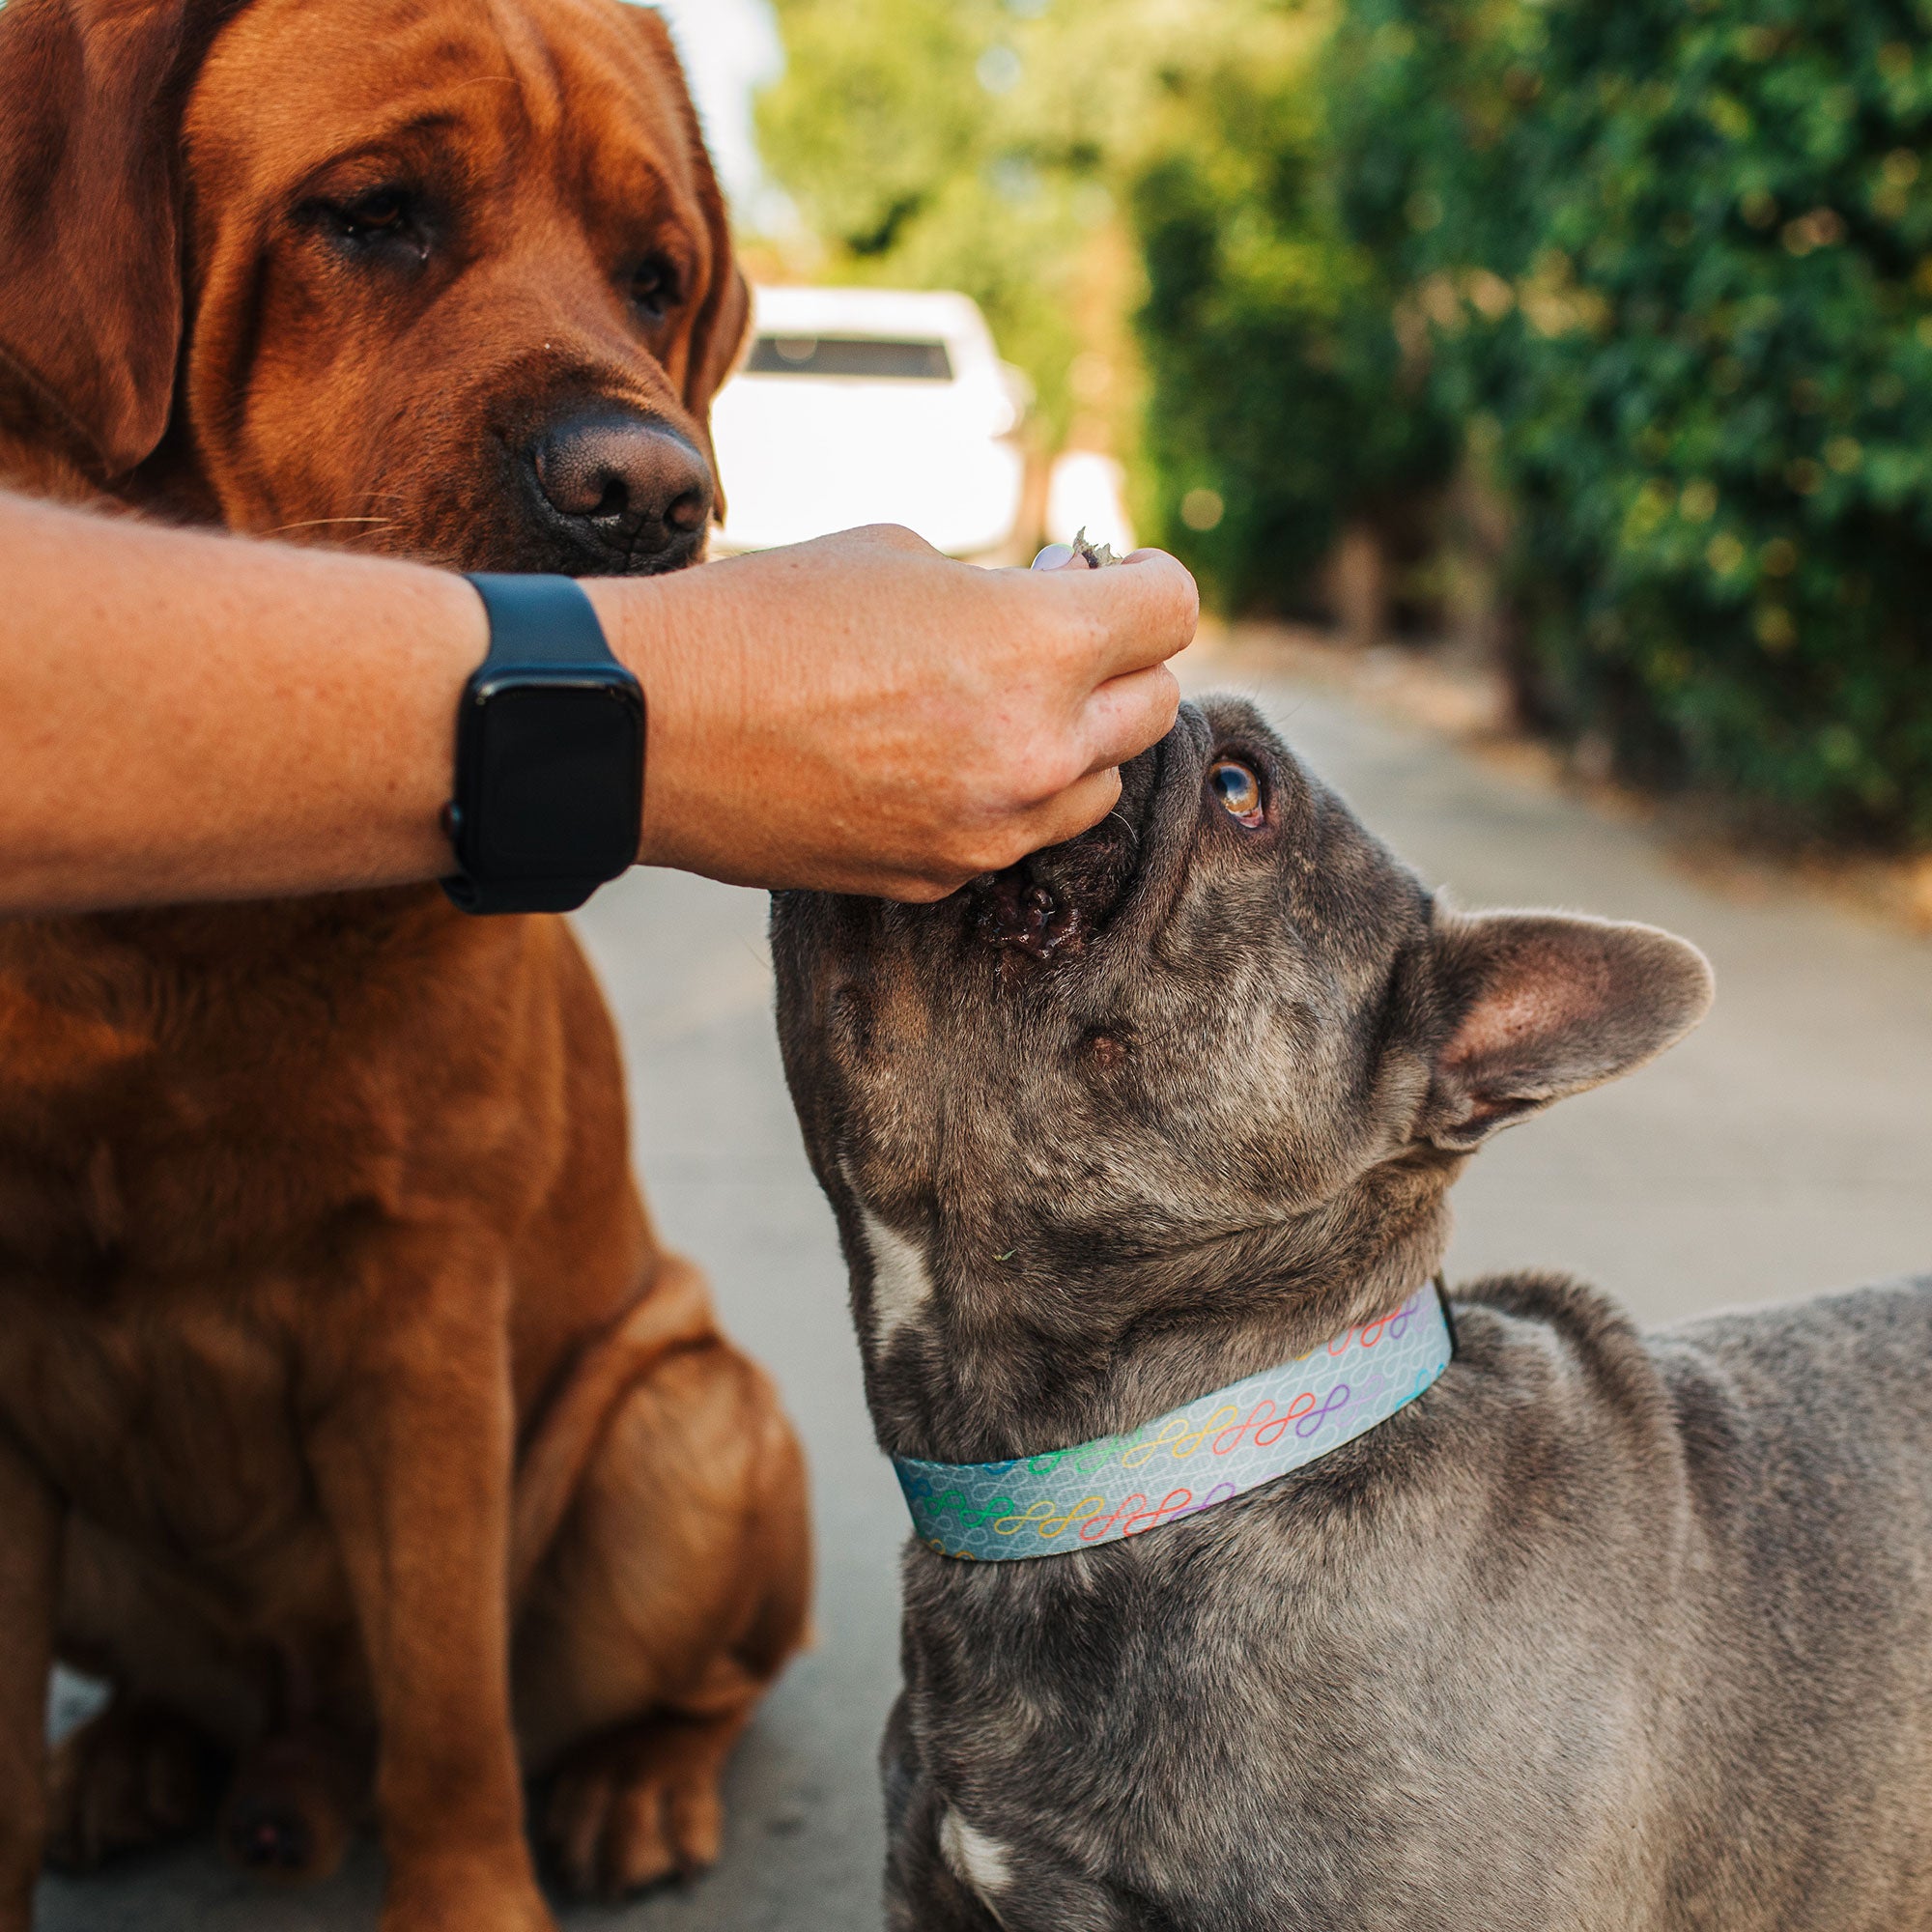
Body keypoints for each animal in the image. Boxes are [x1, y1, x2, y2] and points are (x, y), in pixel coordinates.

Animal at [0, 3, 808, 1932]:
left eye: (658, 278)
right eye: (372, 217)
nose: (654, 492)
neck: (181, 921)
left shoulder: (424, 1313)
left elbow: (450, 1721)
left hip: (694, 1428)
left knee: (689, 1682)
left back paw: (638, 1786)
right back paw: (133, 1754)